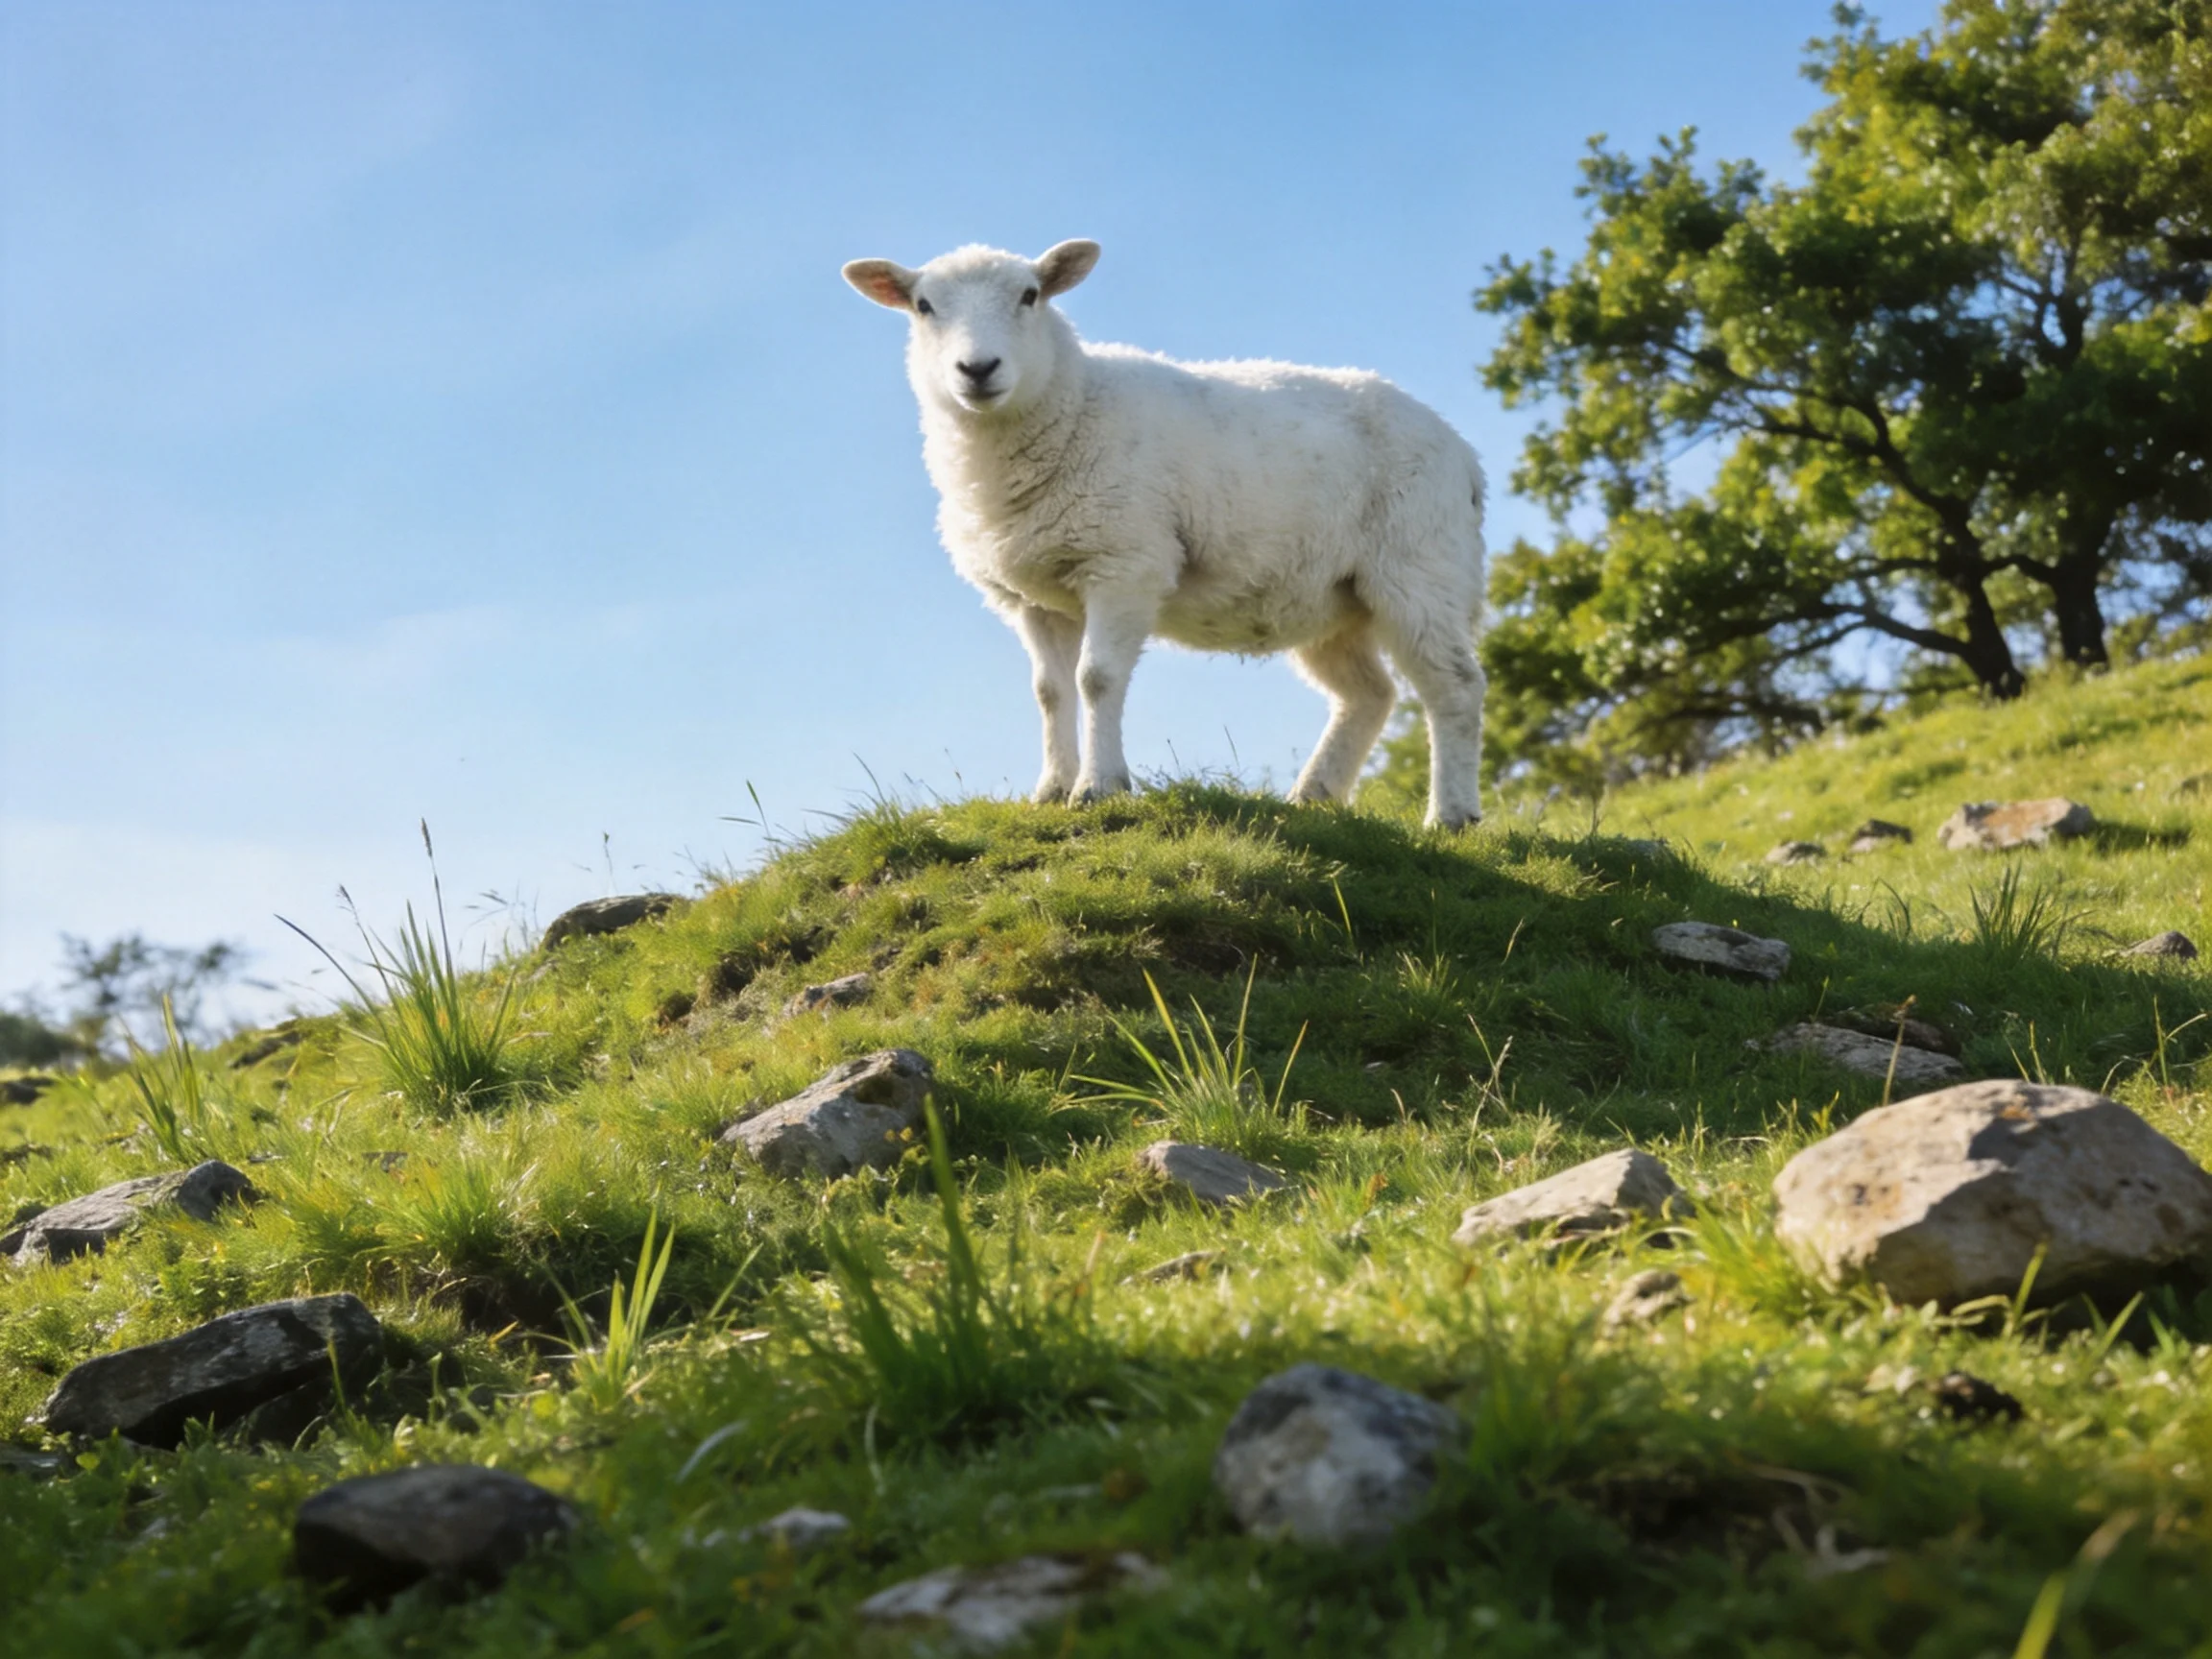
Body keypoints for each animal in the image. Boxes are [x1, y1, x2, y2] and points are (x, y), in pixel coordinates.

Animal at [841, 239, 1489, 827]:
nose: (977, 370)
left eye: (1029, 295)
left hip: (1420, 566)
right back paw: (1313, 796)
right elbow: (1050, 692)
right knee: (1369, 695)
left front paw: (1099, 788)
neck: (1072, 405)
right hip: (1332, 599)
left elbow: (1096, 679)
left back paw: (1450, 816)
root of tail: (1464, 453)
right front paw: (1050, 790)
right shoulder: (1034, 594)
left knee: (1455, 686)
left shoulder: (1124, 561)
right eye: (923, 305)